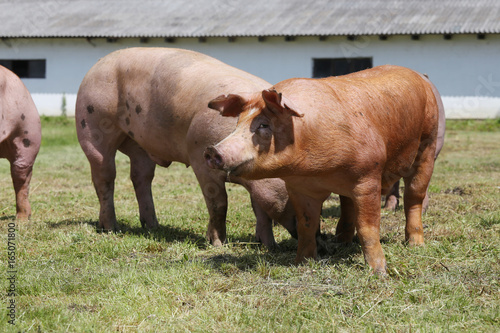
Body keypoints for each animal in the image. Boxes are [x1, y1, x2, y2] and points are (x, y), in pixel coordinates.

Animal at [74, 48, 296, 248]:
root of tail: (96, 65)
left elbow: (260, 209)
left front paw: (269, 246)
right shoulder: (201, 159)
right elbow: (219, 203)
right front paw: (217, 244)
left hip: (139, 145)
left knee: (141, 177)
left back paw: (153, 226)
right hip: (91, 123)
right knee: (104, 176)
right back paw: (111, 228)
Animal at [205, 65, 444, 272]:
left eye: (264, 125)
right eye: (238, 124)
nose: (211, 150)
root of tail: (418, 76)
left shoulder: (368, 177)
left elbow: (368, 227)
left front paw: (378, 271)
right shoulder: (300, 188)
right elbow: (306, 225)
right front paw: (302, 262)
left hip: (427, 145)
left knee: (414, 196)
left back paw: (415, 244)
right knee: (347, 205)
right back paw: (342, 242)